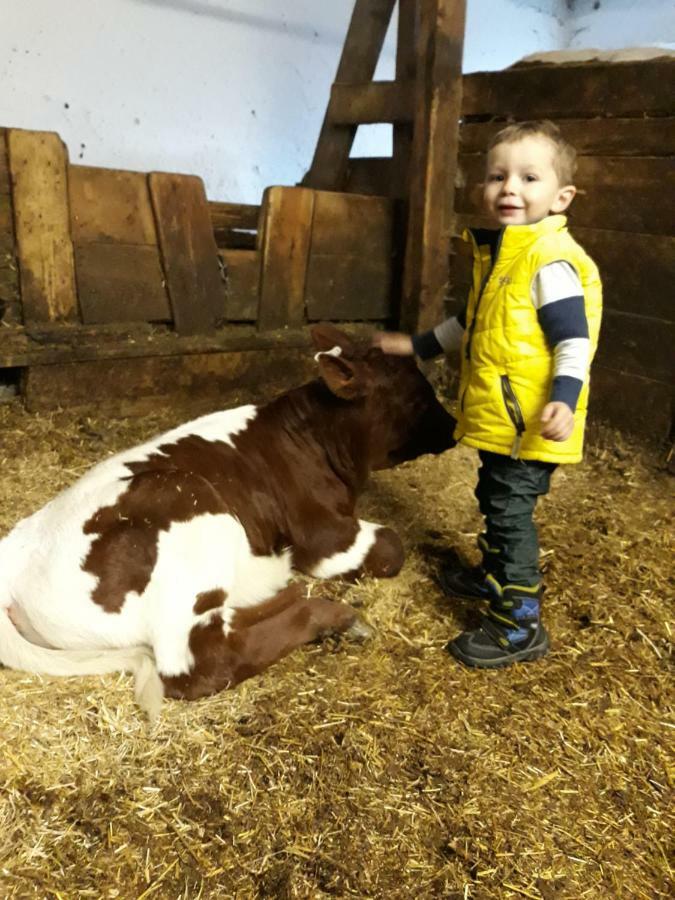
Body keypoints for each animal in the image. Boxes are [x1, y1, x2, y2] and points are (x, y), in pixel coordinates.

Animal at [0, 326, 456, 716]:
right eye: (417, 395)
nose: (453, 426)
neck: (315, 438)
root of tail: (15, 553)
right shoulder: (326, 537)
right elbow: (392, 546)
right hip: (187, 504)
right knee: (204, 659)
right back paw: (332, 615)